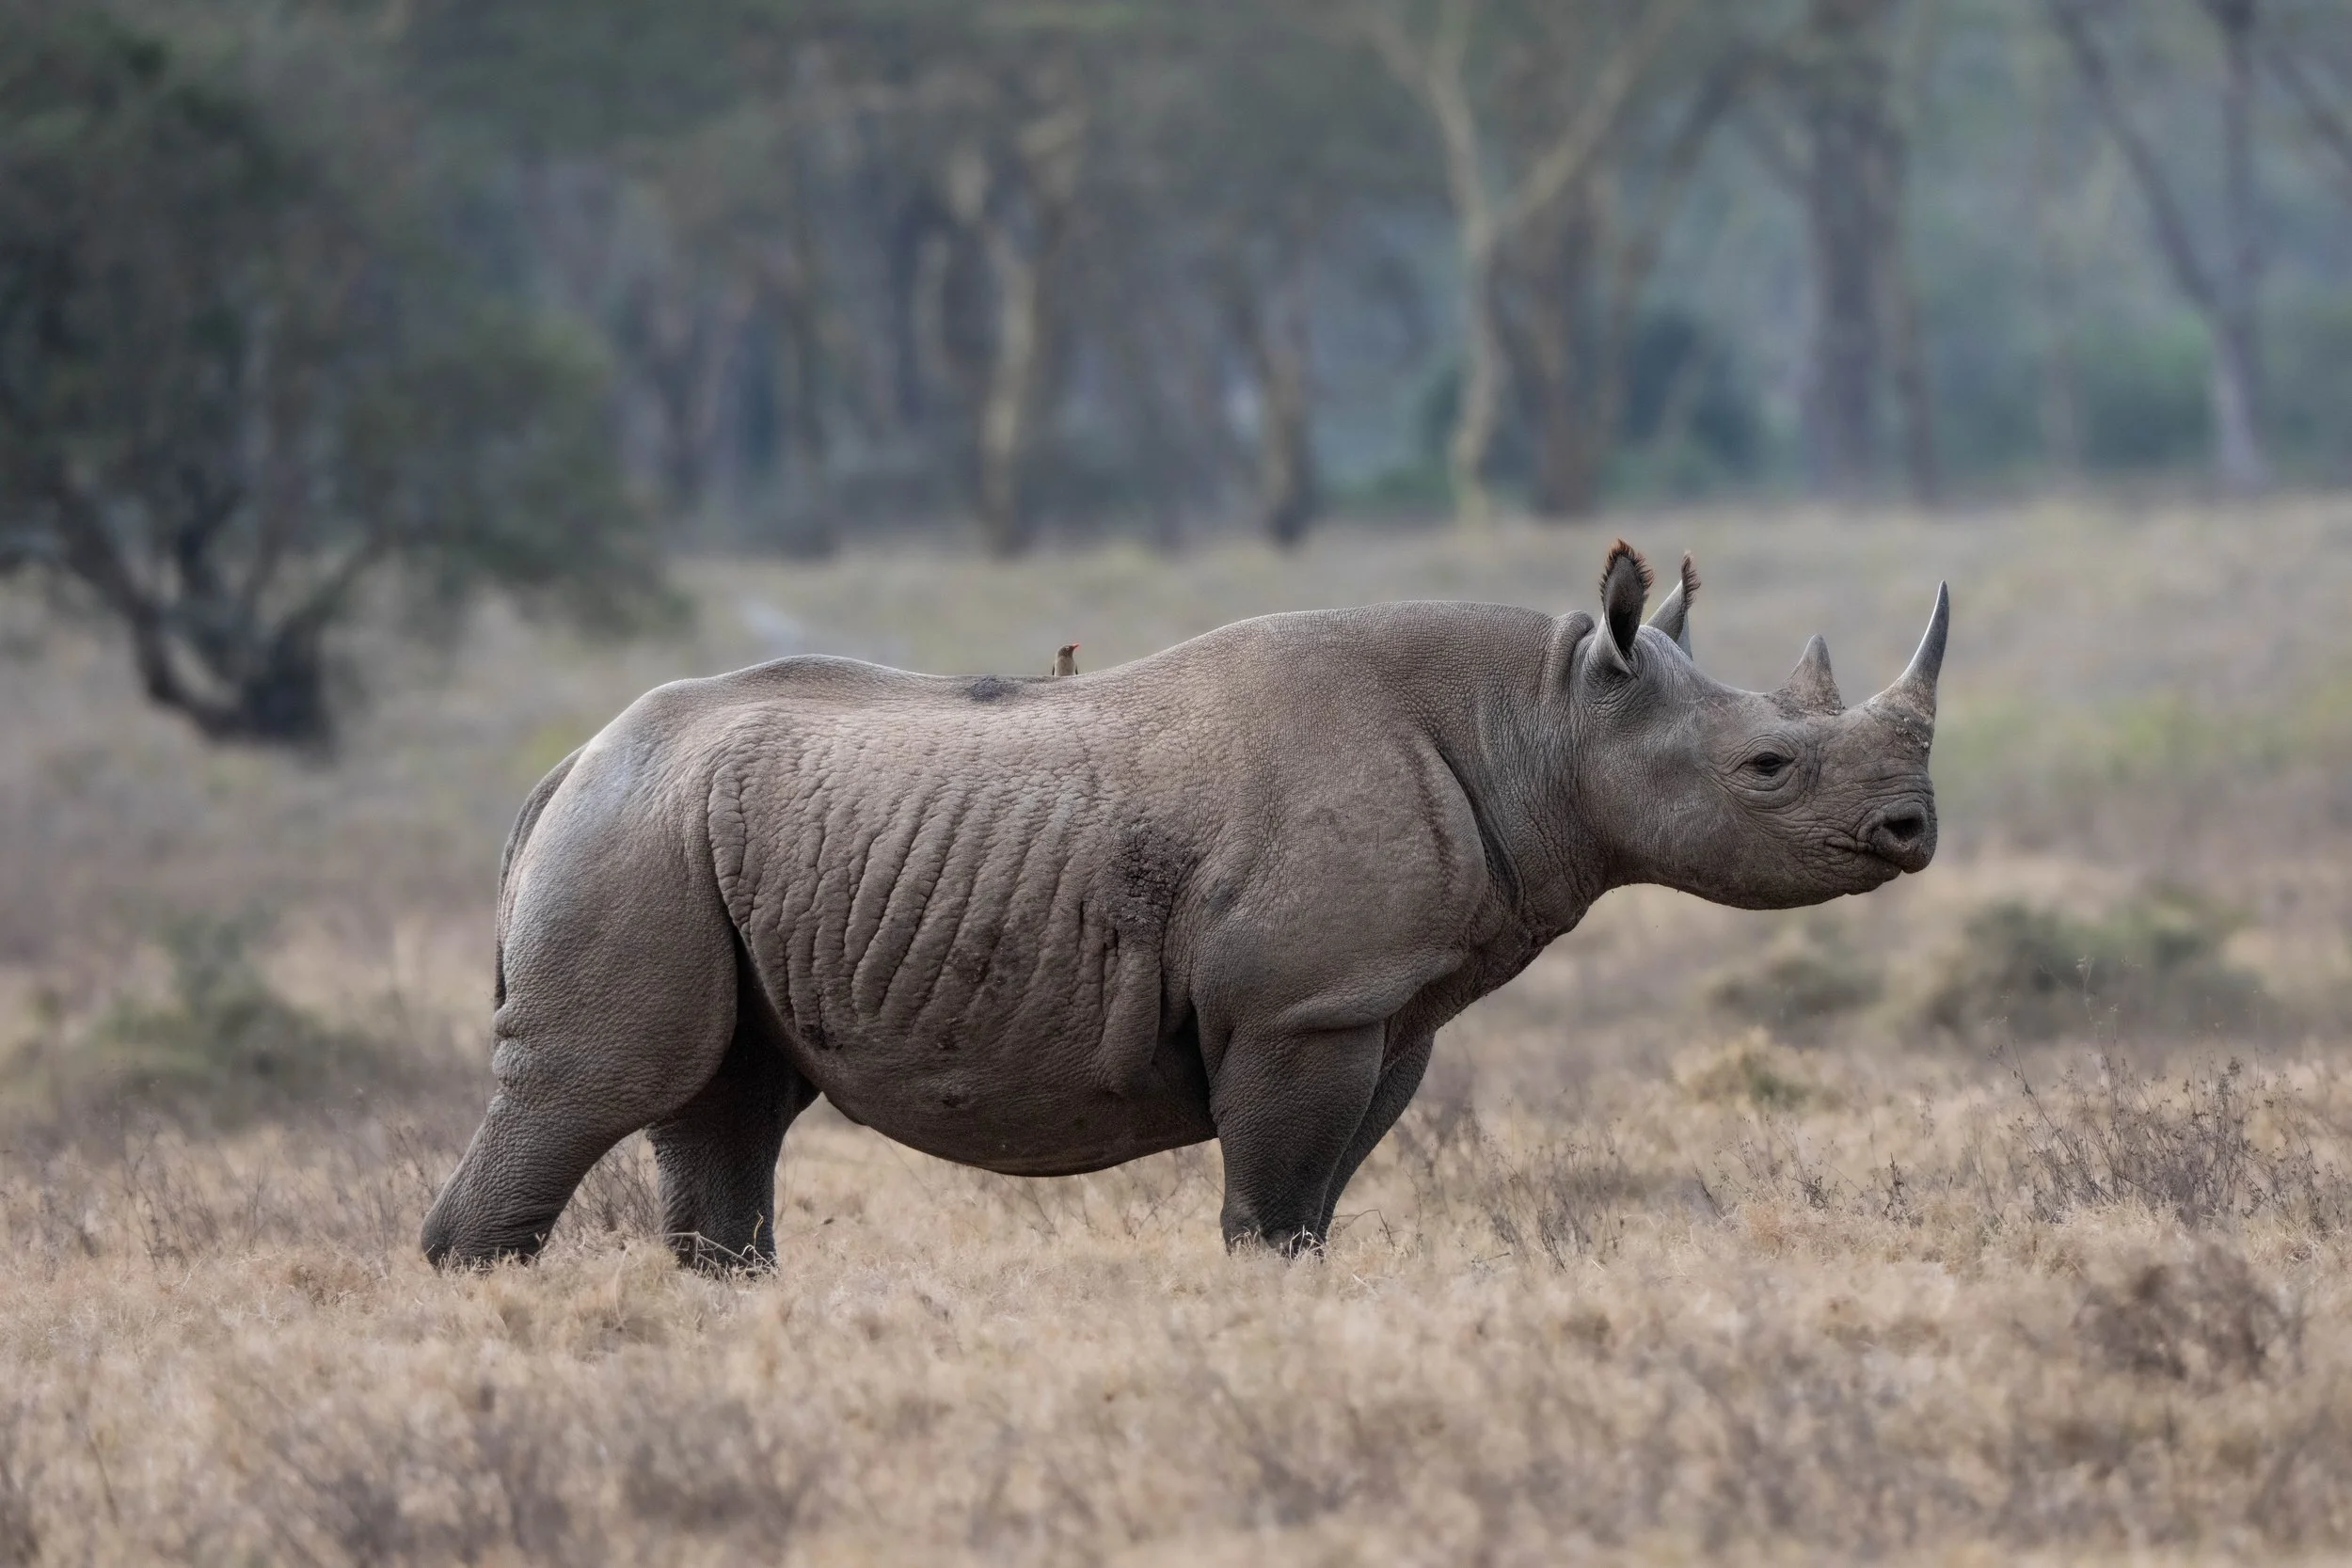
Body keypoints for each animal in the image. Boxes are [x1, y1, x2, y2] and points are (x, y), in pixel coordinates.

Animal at [423, 541, 1946, 1270]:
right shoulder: (1303, 1006)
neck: (1544, 716)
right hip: (632, 838)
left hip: (685, 835)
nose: (1912, 831)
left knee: (721, 1108)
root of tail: (564, 766)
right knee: (596, 1080)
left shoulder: (1378, 1010)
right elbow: (1269, 1210)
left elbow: (1314, 1207)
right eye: (1767, 767)